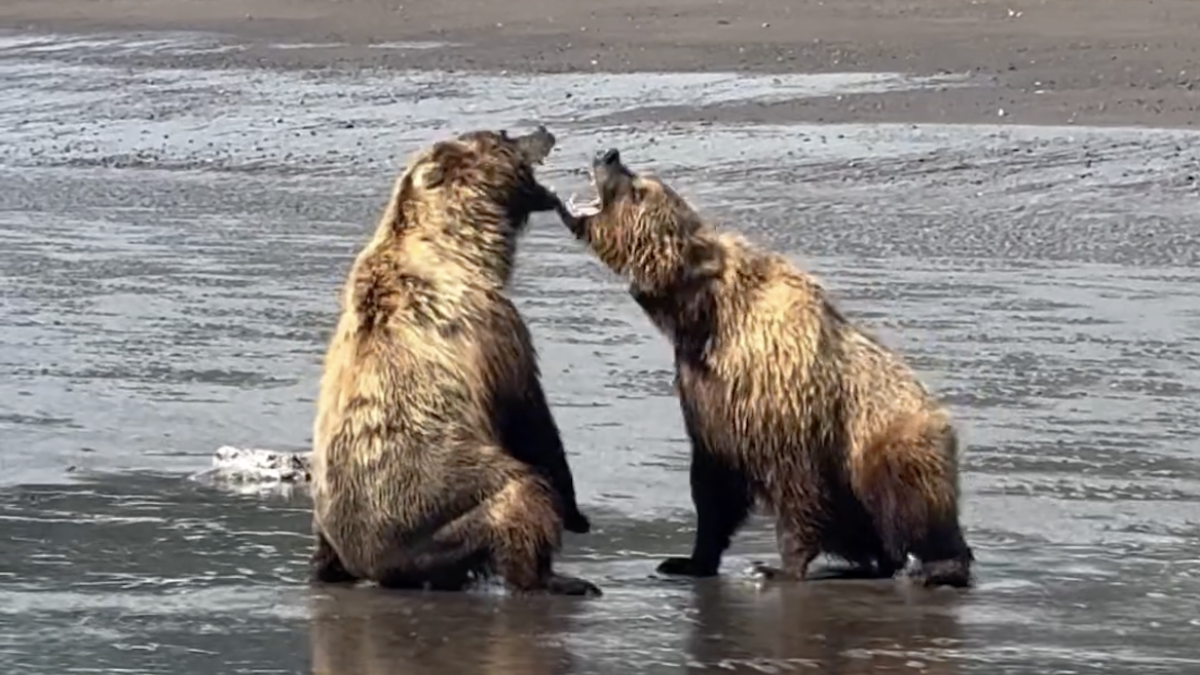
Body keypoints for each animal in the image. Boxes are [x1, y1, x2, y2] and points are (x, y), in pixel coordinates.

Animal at [309, 126, 600, 593]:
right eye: (503, 135)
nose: (543, 130)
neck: (462, 245)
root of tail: (371, 565)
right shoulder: (490, 325)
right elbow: (531, 416)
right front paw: (576, 514)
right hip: (447, 510)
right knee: (521, 496)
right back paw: (557, 579)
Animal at [561, 145, 974, 583]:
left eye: (640, 189)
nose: (609, 155)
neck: (704, 319)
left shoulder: (782, 399)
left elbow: (797, 488)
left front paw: (776, 567)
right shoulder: (707, 399)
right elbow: (714, 489)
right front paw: (690, 560)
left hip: (892, 443)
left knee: (910, 505)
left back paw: (935, 566)